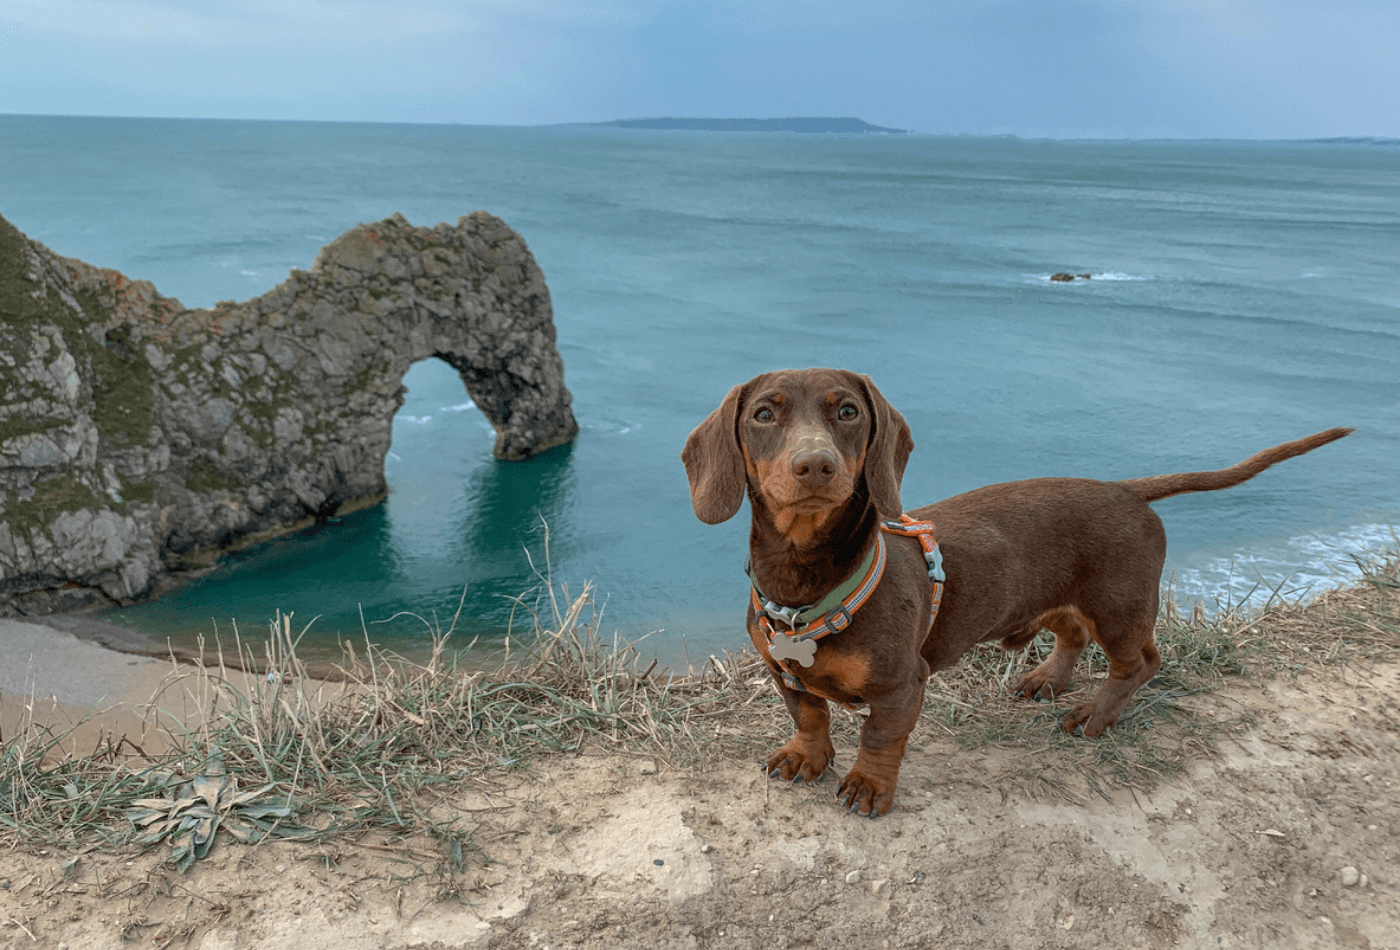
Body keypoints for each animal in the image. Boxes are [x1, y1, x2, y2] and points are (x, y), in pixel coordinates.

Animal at [683, 369, 1349, 817]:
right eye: (763, 415)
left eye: (847, 411)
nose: (815, 466)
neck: (805, 587)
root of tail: (1126, 490)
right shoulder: (783, 671)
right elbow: (810, 714)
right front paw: (807, 756)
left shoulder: (903, 685)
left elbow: (878, 737)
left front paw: (869, 786)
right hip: (1056, 598)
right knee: (1072, 633)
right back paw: (1047, 679)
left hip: (1120, 606)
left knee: (1140, 663)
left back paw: (1094, 715)